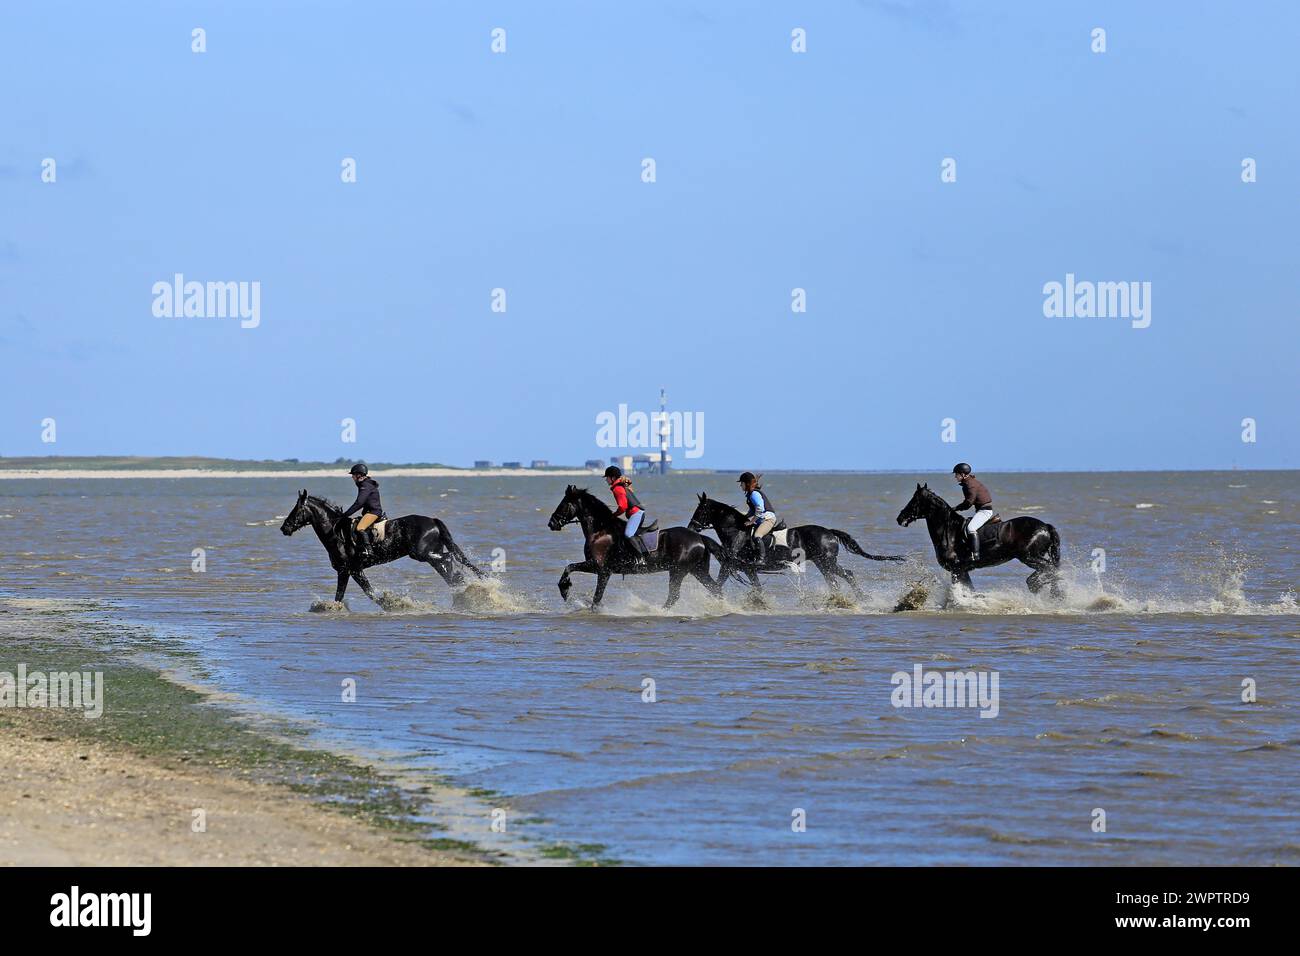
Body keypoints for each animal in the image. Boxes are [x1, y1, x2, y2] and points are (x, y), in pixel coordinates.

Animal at [279, 489, 483, 600]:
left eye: (297, 509)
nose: (284, 528)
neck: (335, 531)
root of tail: (432, 520)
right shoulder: (345, 571)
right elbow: (339, 596)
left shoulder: (352, 569)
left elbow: (368, 592)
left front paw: (389, 604)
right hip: (430, 555)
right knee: (448, 567)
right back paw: (461, 589)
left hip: (422, 554)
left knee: (449, 558)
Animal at [543, 481, 728, 608]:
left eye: (563, 504)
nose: (552, 523)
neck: (600, 531)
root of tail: (699, 537)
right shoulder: (598, 568)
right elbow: (572, 570)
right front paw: (565, 589)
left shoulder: (600, 568)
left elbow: (591, 591)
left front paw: (566, 589)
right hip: (697, 570)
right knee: (715, 589)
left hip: (678, 571)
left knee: (674, 596)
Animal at [691, 489, 904, 595]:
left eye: (700, 511)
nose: (691, 527)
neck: (736, 533)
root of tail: (829, 532)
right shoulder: (747, 569)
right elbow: (756, 588)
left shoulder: (730, 565)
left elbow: (718, 584)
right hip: (822, 563)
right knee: (837, 579)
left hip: (827, 562)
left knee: (845, 576)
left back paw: (858, 598)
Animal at [899, 486, 1060, 598]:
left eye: (914, 501)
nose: (900, 518)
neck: (948, 530)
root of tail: (1045, 526)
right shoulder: (962, 570)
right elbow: (970, 589)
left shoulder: (956, 569)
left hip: (1029, 557)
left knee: (1050, 569)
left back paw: (1038, 585)